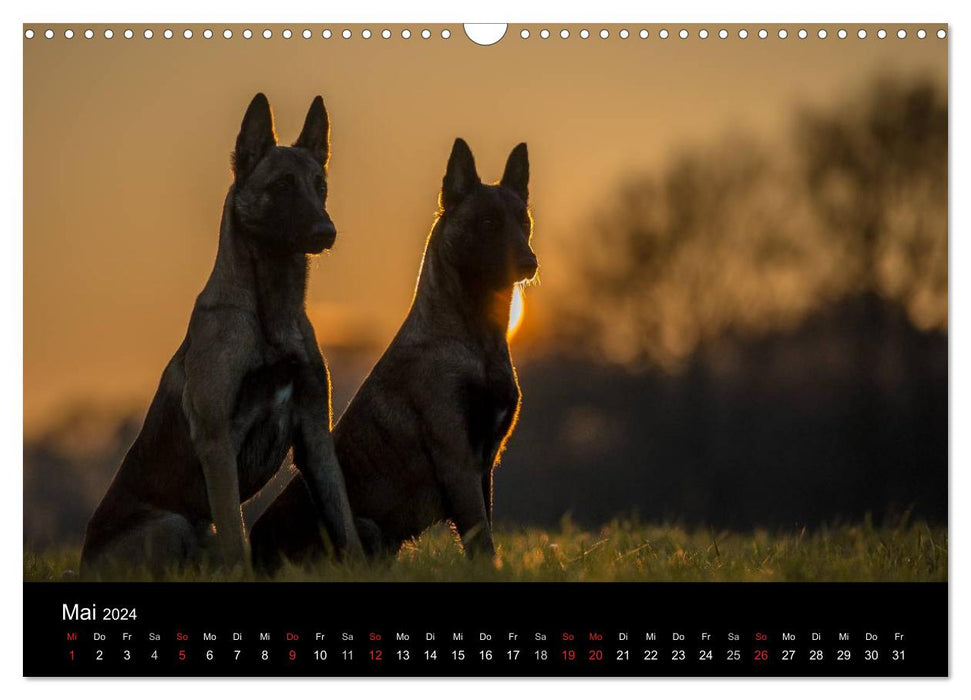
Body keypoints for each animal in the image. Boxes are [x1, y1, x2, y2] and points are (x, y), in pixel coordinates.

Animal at [80, 91, 364, 576]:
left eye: (320, 186)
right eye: (282, 186)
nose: (326, 232)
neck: (271, 311)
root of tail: (81, 564)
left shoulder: (314, 435)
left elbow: (343, 518)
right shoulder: (217, 443)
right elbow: (237, 536)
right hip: (175, 522)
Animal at [251, 137, 540, 568]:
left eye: (524, 222)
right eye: (488, 223)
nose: (529, 262)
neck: (471, 339)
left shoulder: (484, 464)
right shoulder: (458, 461)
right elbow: (480, 539)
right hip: (367, 529)